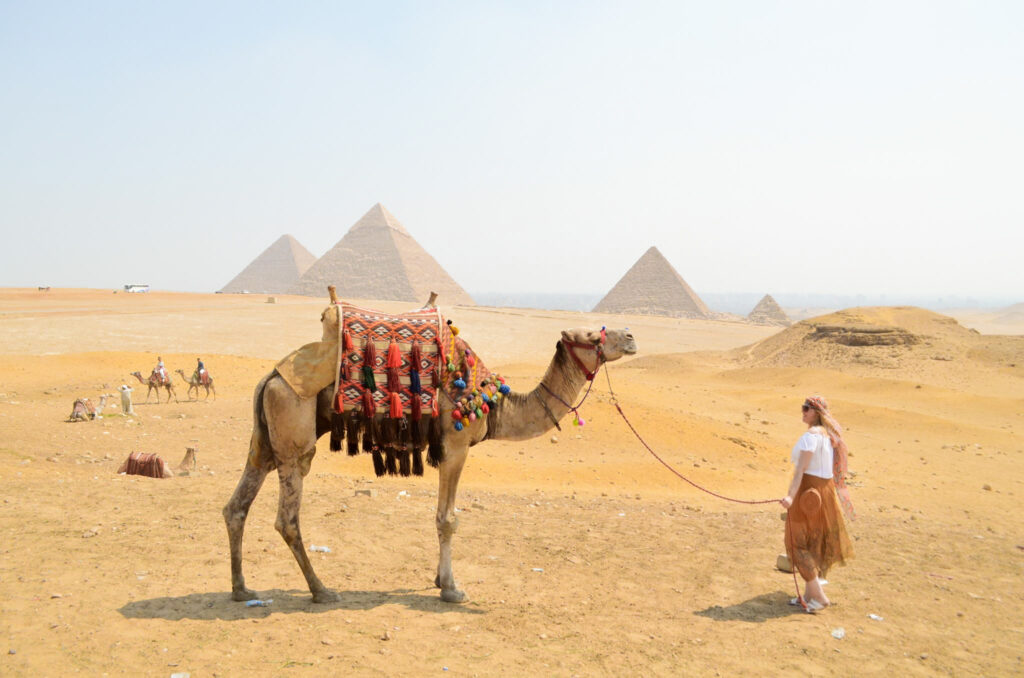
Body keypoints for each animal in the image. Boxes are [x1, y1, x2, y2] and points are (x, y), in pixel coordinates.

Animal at [223, 300, 637, 604]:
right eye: (591, 336)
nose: (631, 336)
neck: (492, 403)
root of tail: (272, 376)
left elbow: (445, 515)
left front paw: (440, 578)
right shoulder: (455, 446)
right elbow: (447, 519)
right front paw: (452, 588)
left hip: (264, 440)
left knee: (236, 506)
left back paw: (242, 588)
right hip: (294, 432)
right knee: (287, 518)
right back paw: (321, 590)